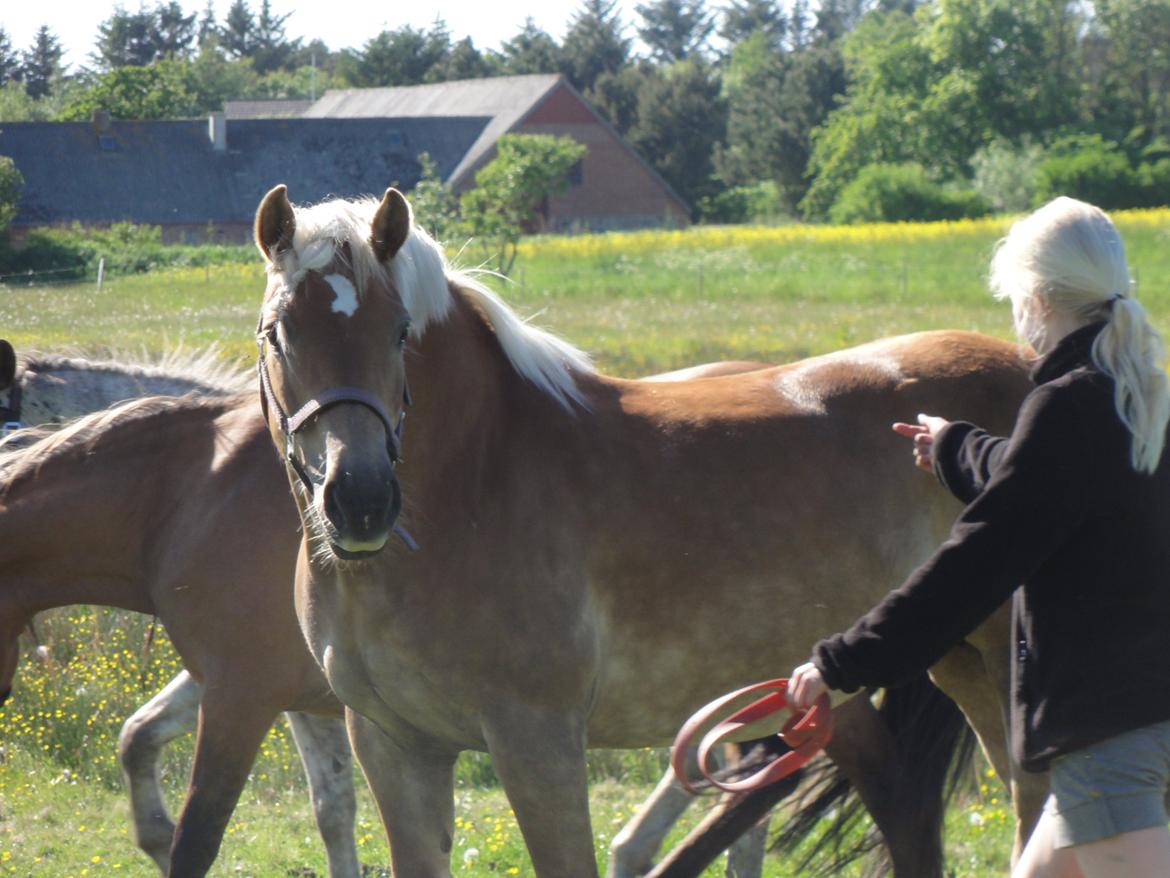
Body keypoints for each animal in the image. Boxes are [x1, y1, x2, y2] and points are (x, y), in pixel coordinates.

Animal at [0, 341, 360, 878]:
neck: (183, 496)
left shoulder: (243, 693)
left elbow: (200, 835)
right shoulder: (254, 685)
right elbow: (138, 737)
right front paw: (155, 837)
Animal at [246, 183, 1043, 875]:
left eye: (400, 332)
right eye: (279, 334)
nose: (361, 500)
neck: (475, 476)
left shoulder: (537, 741)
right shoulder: (395, 747)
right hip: (954, 666)